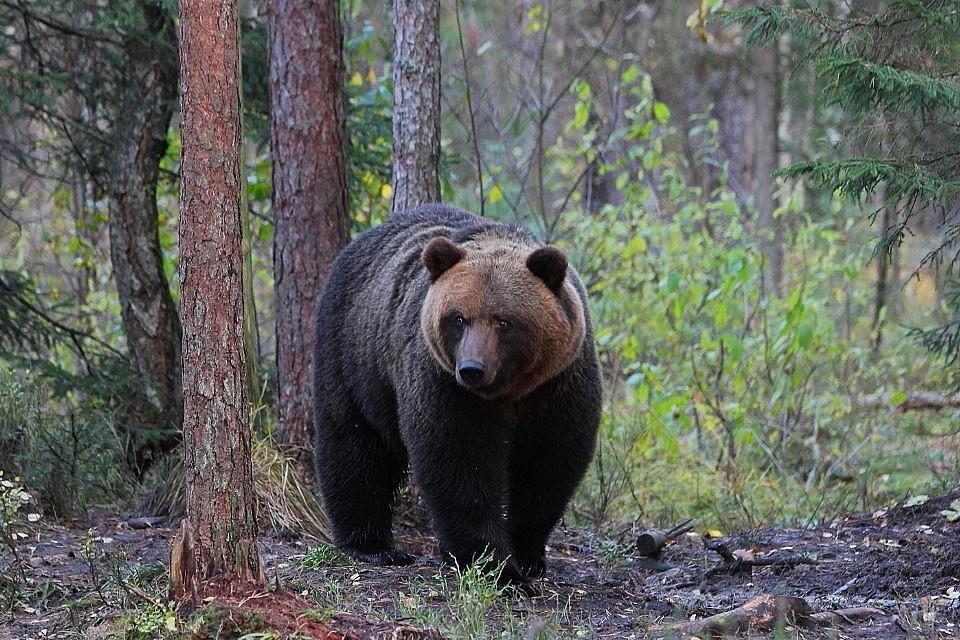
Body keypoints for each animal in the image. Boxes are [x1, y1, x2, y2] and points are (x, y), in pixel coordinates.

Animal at [314, 204, 600, 584]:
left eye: (504, 321)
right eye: (459, 318)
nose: (472, 368)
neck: (509, 390)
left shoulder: (559, 383)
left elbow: (550, 461)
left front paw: (526, 555)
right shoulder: (445, 384)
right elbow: (459, 459)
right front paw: (492, 564)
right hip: (354, 354)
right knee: (354, 444)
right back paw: (374, 546)